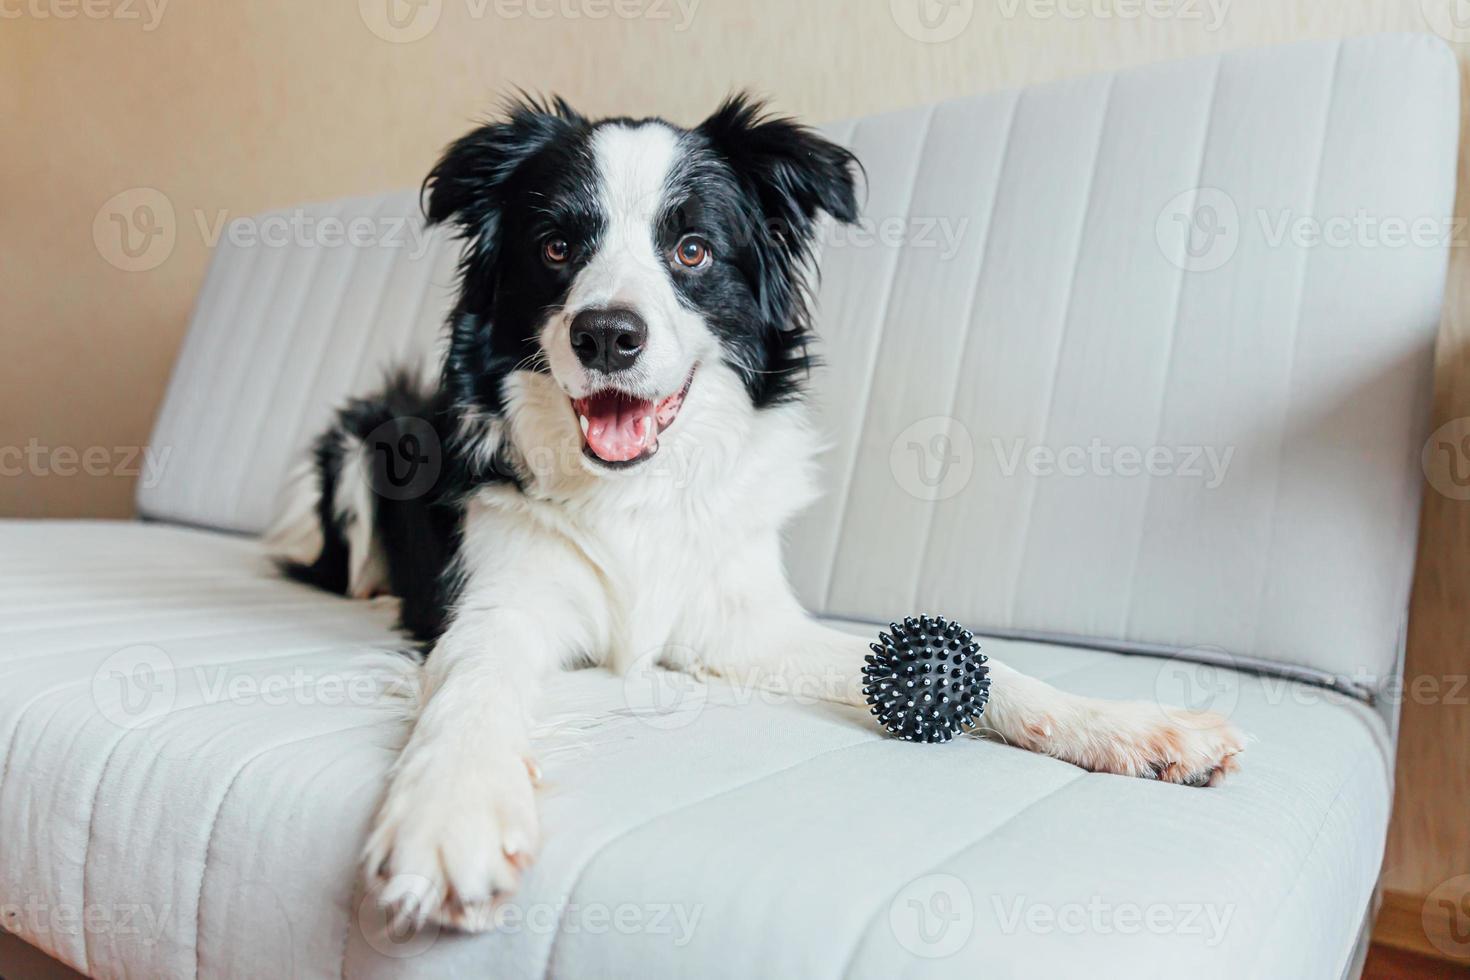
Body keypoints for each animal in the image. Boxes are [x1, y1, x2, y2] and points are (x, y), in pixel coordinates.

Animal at [270, 95, 1246, 934]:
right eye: (555, 247)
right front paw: (453, 812)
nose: (607, 335)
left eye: (694, 251)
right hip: (359, 440)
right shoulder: (499, 603)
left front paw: (1132, 727)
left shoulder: (741, 624)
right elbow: (473, 689)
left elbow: (984, 670)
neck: (634, 490)